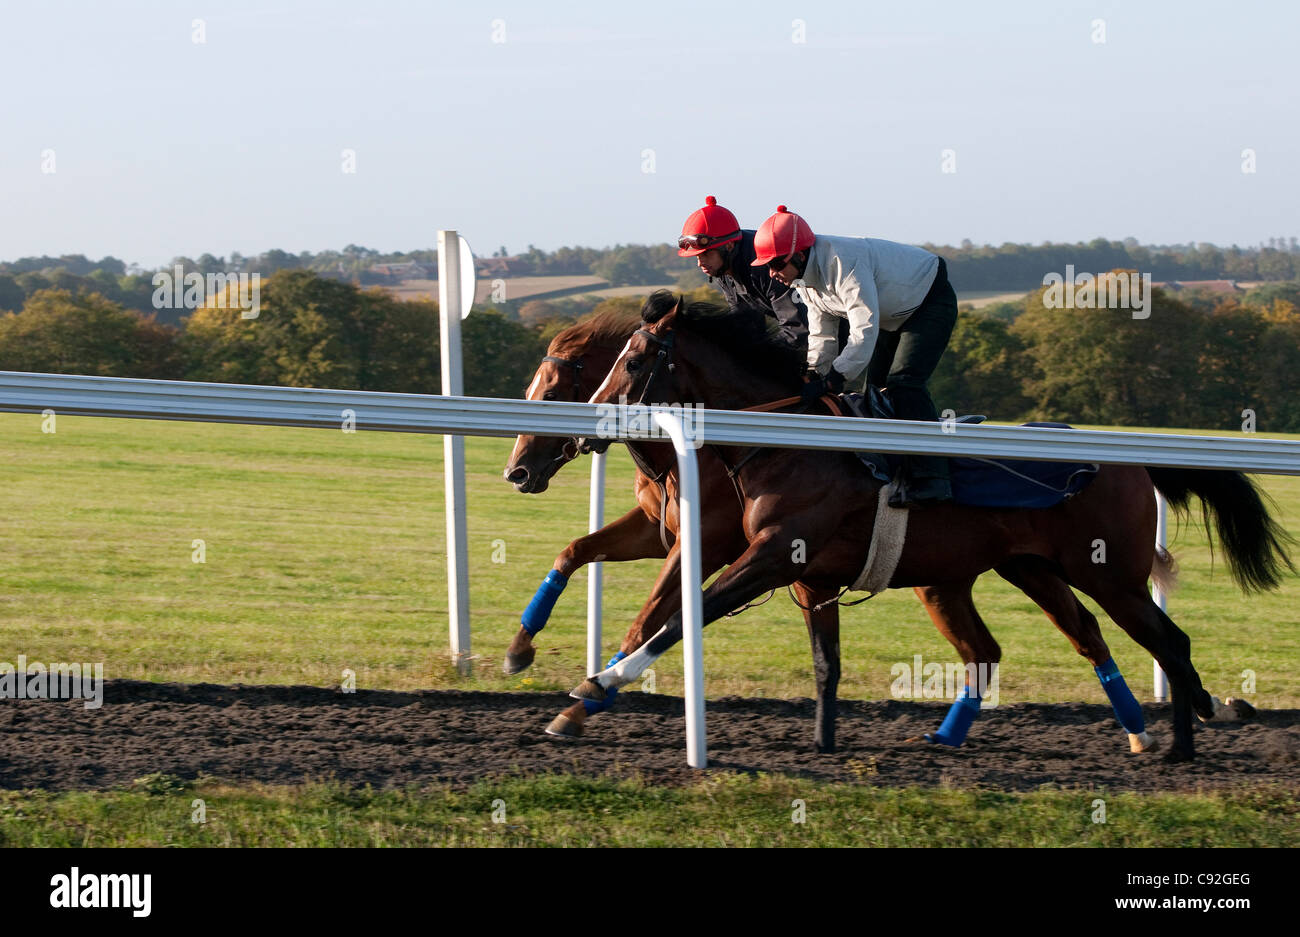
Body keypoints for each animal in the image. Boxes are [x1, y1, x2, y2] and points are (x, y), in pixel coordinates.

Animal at [571, 292, 1293, 761]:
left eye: (636, 358)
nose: (590, 419)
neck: (789, 439)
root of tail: (1129, 459)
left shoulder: (773, 554)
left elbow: (680, 617)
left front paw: (598, 684)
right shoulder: (802, 572)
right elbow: (818, 659)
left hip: (1109, 572)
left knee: (1169, 641)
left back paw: (1182, 741)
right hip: (1022, 569)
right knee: (1033, 643)